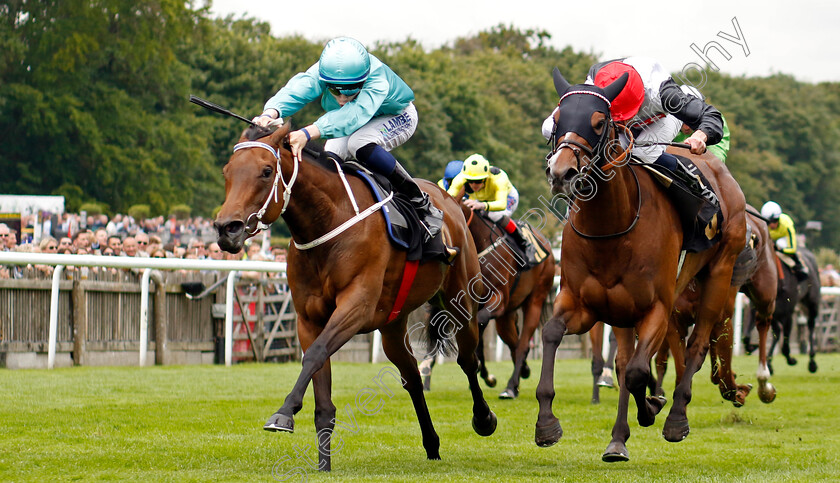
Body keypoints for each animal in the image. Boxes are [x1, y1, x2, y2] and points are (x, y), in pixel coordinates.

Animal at [213, 122, 496, 472]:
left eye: (266, 171)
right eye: (228, 171)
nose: (227, 228)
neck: (328, 221)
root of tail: (450, 200)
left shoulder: (356, 306)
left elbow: (315, 354)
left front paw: (284, 413)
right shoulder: (309, 319)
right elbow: (320, 385)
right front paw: (323, 465)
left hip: (461, 300)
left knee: (467, 359)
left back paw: (484, 418)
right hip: (393, 323)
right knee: (412, 376)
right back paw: (431, 444)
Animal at [462, 210, 556, 398]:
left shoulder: (499, 299)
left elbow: (481, 326)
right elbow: (479, 338)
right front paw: (485, 373)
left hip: (535, 299)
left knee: (522, 345)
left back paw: (511, 387)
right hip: (506, 316)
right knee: (513, 341)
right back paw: (522, 372)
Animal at [536, 70, 744, 464]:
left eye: (599, 122)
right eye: (557, 118)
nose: (562, 172)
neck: (609, 228)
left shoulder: (657, 308)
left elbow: (636, 372)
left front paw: (652, 407)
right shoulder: (581, 303)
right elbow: (554, 334)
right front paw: (547, 424)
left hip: (718, 274)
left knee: (695, 346)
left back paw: (676, 418)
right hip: (621, 312)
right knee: (623, 360)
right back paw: (618, 439)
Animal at [768, 246, 820, 374]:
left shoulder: (787, 311)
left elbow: (785, 340)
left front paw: (790, 359)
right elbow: (777, 332)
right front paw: (768, 365)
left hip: (812, 303)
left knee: (811, 325)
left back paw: (812, 362)